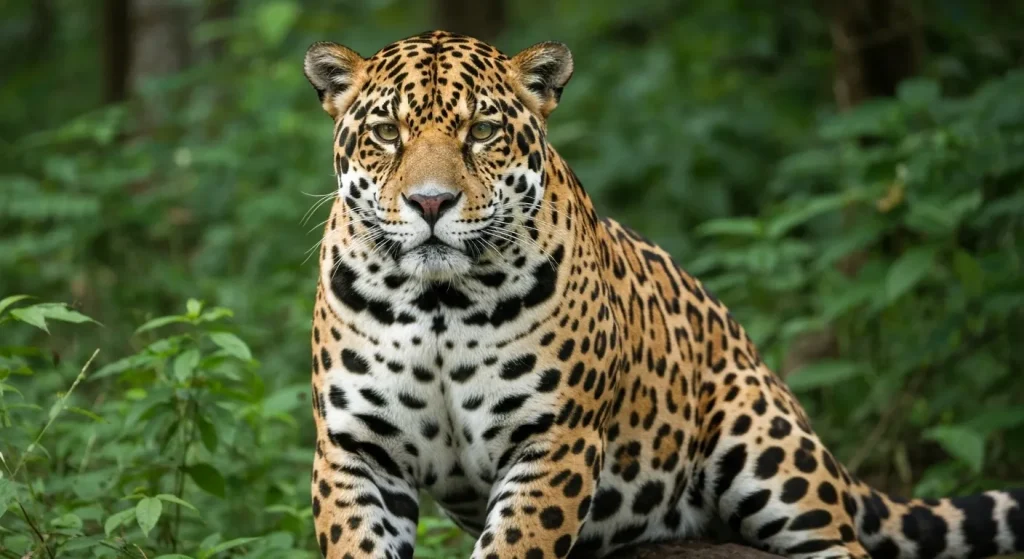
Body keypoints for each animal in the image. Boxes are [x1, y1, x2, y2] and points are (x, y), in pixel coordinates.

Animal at [303, 30, 1024, 559]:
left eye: (481, 131)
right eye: (387, 133)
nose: (430, 203)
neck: (438, 304)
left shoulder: (554, 439)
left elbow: (515, 544)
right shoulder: (354, 450)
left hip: (763, 444)